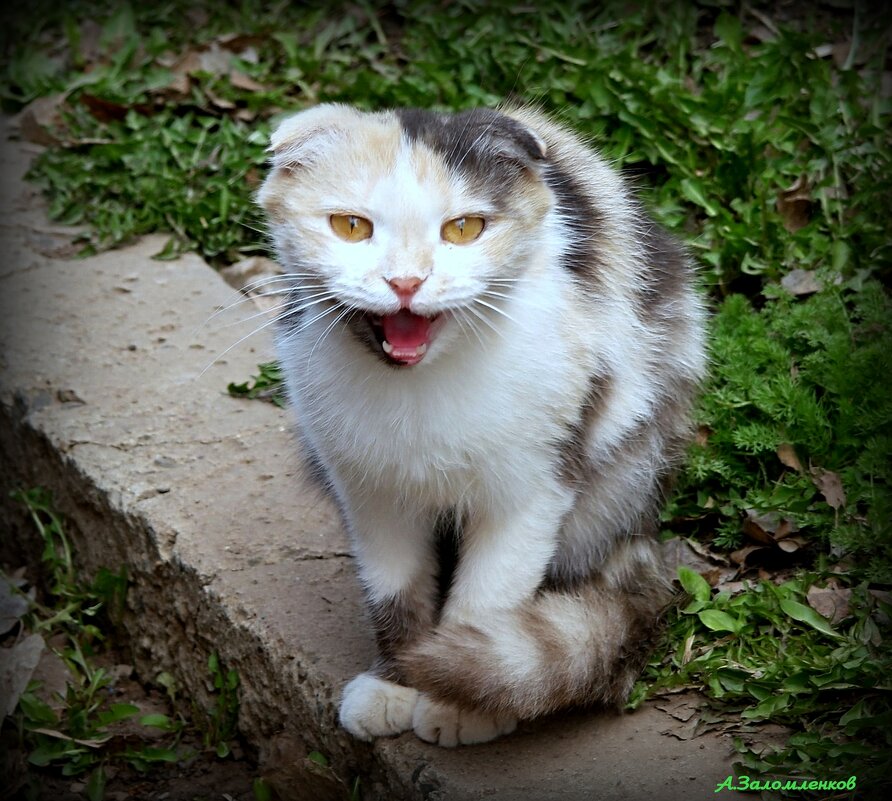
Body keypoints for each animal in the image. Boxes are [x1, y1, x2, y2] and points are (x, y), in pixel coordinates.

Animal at [254, 103, 708, 748]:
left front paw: (462, 700)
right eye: (350, 226)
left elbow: (488, 600)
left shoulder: (533, 486)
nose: (406, 283)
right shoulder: (367, 489)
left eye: (464, 230)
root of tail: (646, 535)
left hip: (623, 476)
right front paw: (397, 680)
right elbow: (395, 591)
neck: (419, 390)